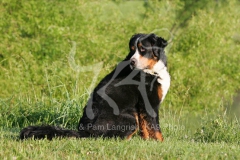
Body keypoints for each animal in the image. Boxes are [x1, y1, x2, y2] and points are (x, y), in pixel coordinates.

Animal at [20, 32, 171, 141]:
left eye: (143, 49)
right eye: (132, 50)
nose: (132, 62)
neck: (152, 70)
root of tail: (85, 131)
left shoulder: (142, 106)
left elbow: (146, 127)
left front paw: (147, 141)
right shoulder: (149, 103)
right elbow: (155, 127)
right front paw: (160, 143)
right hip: (130, 118)